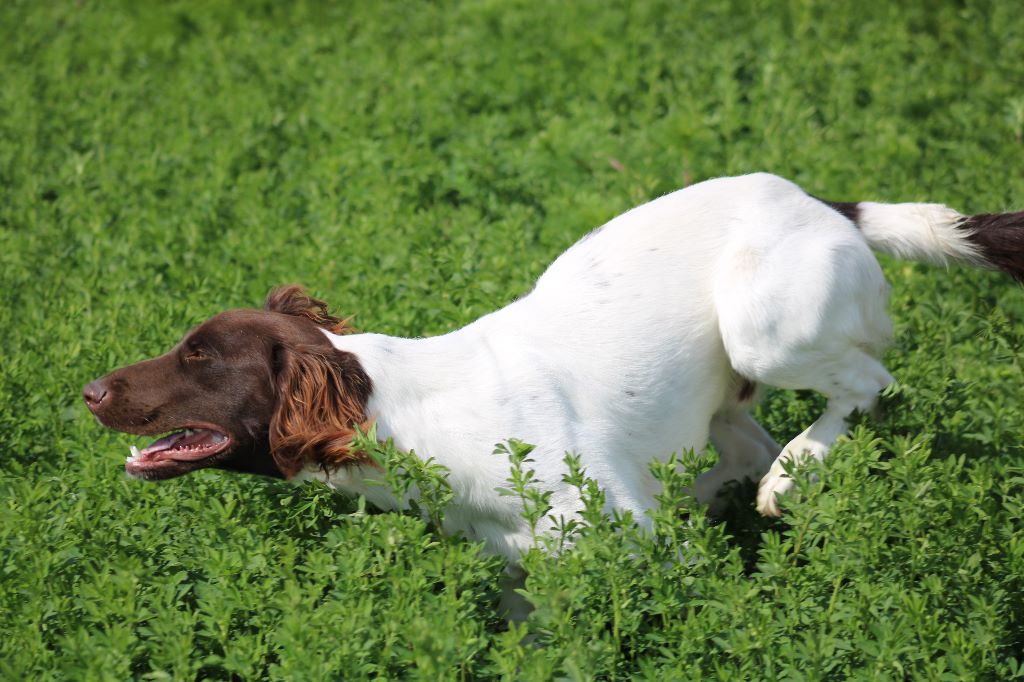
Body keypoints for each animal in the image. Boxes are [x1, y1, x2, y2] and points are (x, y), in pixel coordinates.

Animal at [83, 173, 1019, 561]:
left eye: (200, 356)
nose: (89, 391)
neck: (410, 420)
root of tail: (822, 201)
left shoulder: (636, 546)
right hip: (723, 390)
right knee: (745, 440)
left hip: (765, 331)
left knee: (867, 387)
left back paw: (795, 471)